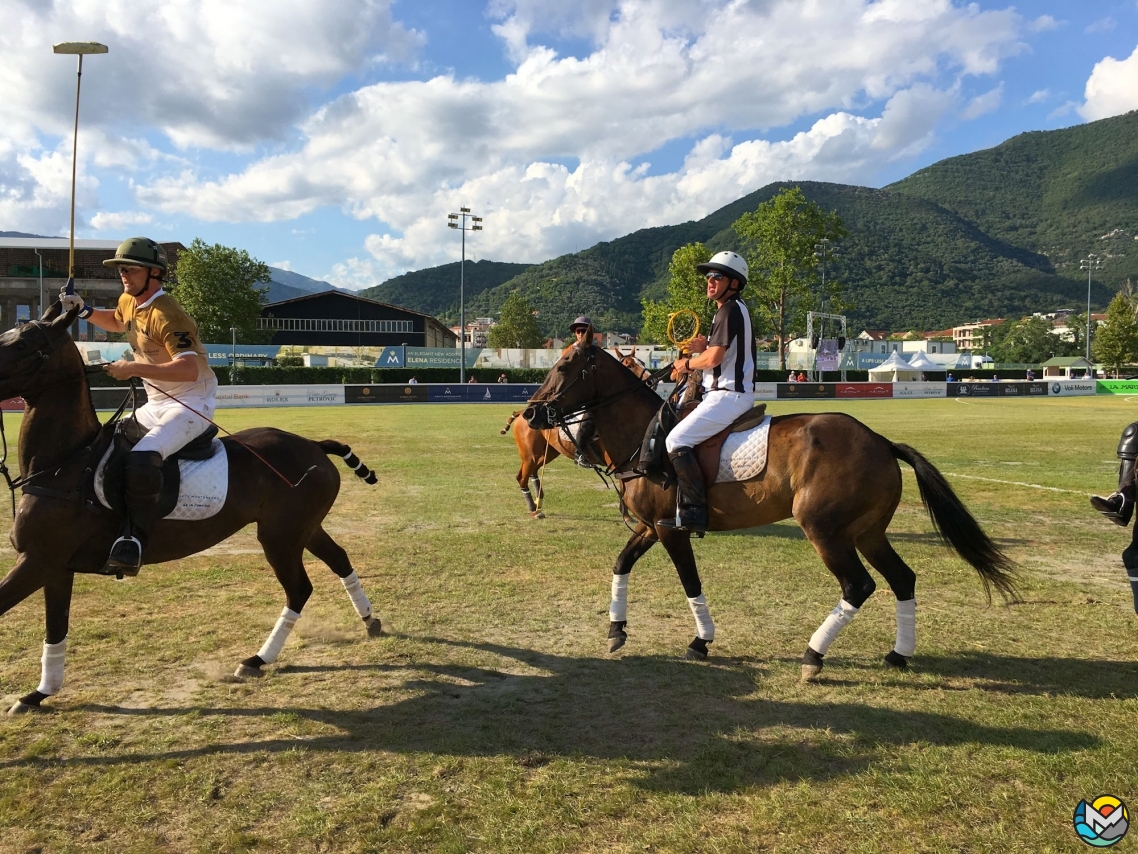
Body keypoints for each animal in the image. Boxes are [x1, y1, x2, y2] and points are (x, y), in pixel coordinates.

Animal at [0, 307, 382, 715]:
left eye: (23, 344)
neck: (68, 463)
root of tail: (313, 444)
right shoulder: (55, 566)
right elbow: (56, 628)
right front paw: (39, 693)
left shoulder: (38, 560)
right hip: (302, 527)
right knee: (339, 559)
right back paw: (369, 620)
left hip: (280, 536)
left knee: (299, 589)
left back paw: (257, 659)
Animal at [523, 341, 1015, 683]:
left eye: (563, 367)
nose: (530, 414)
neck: (641, 438)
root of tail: (880, 440)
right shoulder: (649, 527)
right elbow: (621, 564)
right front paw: (616, 630)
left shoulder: (672, 529)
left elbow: (690, 583)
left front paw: (701, 641)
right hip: (867, 532)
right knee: (902, 579)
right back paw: (898, 654)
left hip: (824, 529)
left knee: (858, 585)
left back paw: (813, 658)